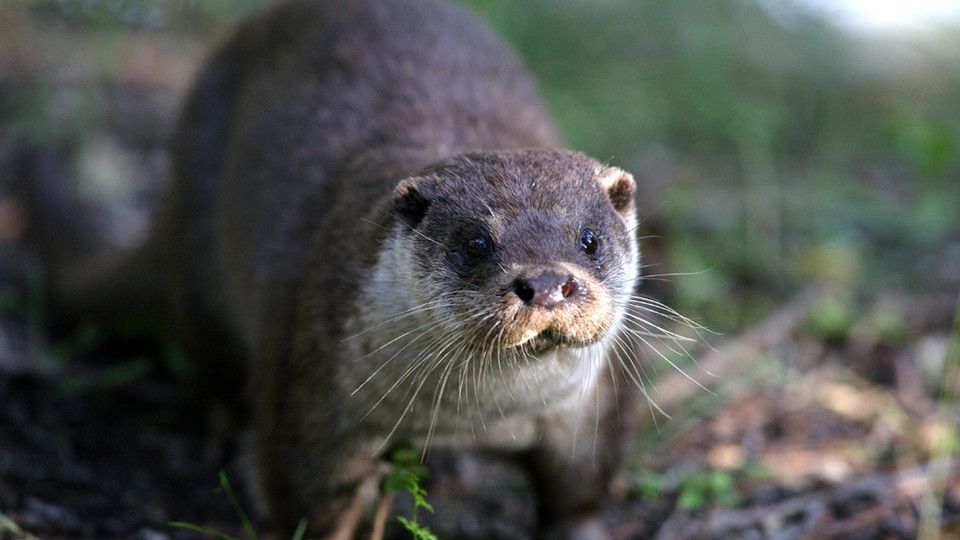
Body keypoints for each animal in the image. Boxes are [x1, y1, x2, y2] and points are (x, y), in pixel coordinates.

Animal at [26, 0, 648, 536]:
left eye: (589, 239)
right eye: (475, 242)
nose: (545, 283)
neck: (478, 415)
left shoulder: (596, 403)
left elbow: (580, 488)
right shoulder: (310, 388)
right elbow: (306, 497)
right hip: (203, 263)